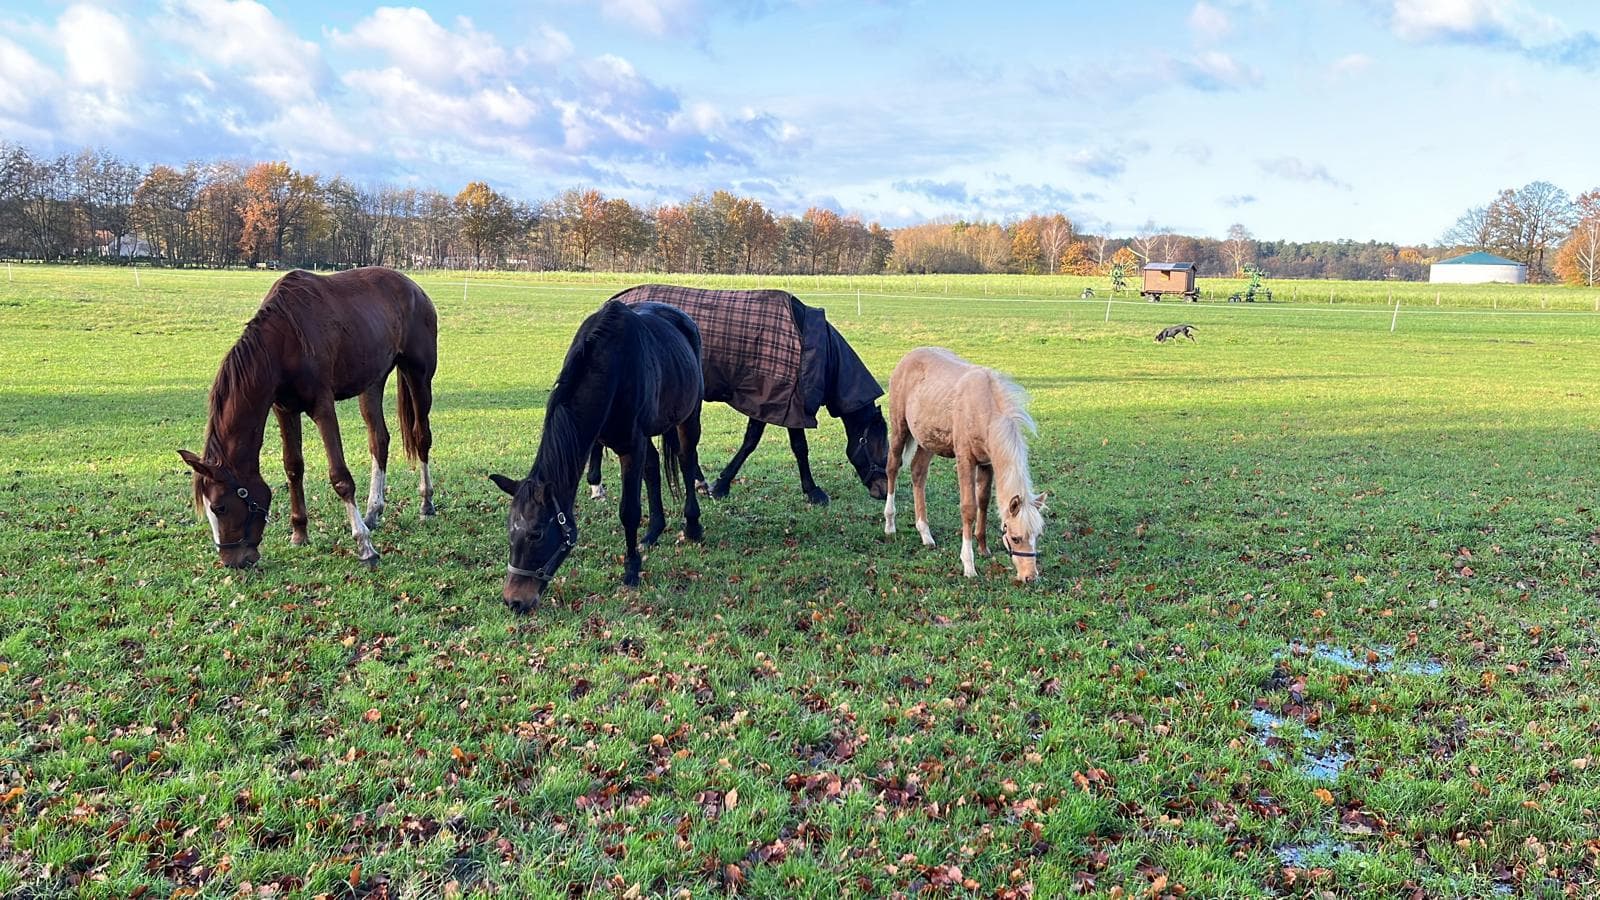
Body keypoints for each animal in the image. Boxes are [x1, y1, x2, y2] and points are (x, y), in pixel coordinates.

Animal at [178, 267, 437, 569]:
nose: (232, 560)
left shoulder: (322, 407)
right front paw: (300, 532)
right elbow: (293, 467)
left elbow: (340, 476)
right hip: (372, 382)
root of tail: (414, 287)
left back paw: (426, 503)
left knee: (421, 437)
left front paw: (364, 546)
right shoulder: (284, 410)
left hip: (418, 375)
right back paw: (373, 511)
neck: (284, 340)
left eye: (219, 507)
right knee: (379, 440)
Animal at [490, 300, 704, 614]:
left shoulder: (631, 446)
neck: (610, 367)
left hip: (689, 416)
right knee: (654, 467)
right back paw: (653, 531)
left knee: (687, 461)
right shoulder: (613, 440)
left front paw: (631, 569)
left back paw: (692, 525)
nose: (514, 601)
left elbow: (629, 511)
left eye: (536, 533)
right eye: (509, 531)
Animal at [585, 285, 888, 506]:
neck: (806, 343)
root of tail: (613, 302)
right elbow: (789, 447)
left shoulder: (774, 402)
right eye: (877, 444)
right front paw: (813, 491)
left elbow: (756, 441)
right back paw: (597, 485)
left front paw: (718, 485)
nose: (883, 490)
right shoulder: (783, 403)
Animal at [882, 347, 1046, 582]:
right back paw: (890, 525)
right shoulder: (965, 459)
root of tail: (908, 357)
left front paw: (984, 549)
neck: (984, 408)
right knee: (892, 467)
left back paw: (925, 534)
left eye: (1037, 535)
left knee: (917, 472)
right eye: (1015, 538)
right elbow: (969, 508)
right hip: (899, 429)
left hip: (927, 441)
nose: (1030, 577)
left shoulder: (987, 462)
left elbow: (983, 501)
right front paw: (969, 565)